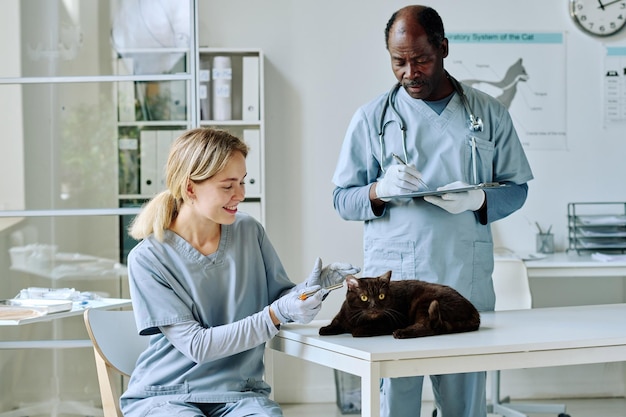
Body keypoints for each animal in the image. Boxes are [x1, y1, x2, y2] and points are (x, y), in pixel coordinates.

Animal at [320, 270, 480, 338]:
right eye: (364, 298)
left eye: (381, 296)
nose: (374, 306)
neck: (356, 320)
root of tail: (474, 310)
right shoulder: (343, 315)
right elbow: (335, 323)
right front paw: (326, 329)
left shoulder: (390, 322)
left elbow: (368, 327)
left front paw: (359, 330)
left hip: (425, 303)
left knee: (428, 327)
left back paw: (401, 332)